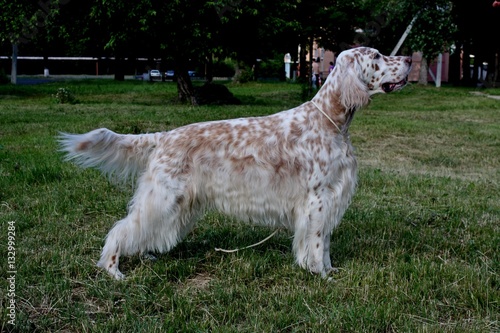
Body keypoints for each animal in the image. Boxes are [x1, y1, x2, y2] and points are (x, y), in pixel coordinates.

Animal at [59, 46, 410, 278]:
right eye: (376, 56)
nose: (408, 59)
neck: (330, 121)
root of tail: (164, 135)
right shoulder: (318, 199)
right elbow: (316, 241)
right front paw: (319, 274)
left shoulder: (329, 198)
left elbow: (323, 243)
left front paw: (328, 270)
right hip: (164, 195)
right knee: (123, 228)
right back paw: (113, 270)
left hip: (172, 201)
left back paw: (145, 257)